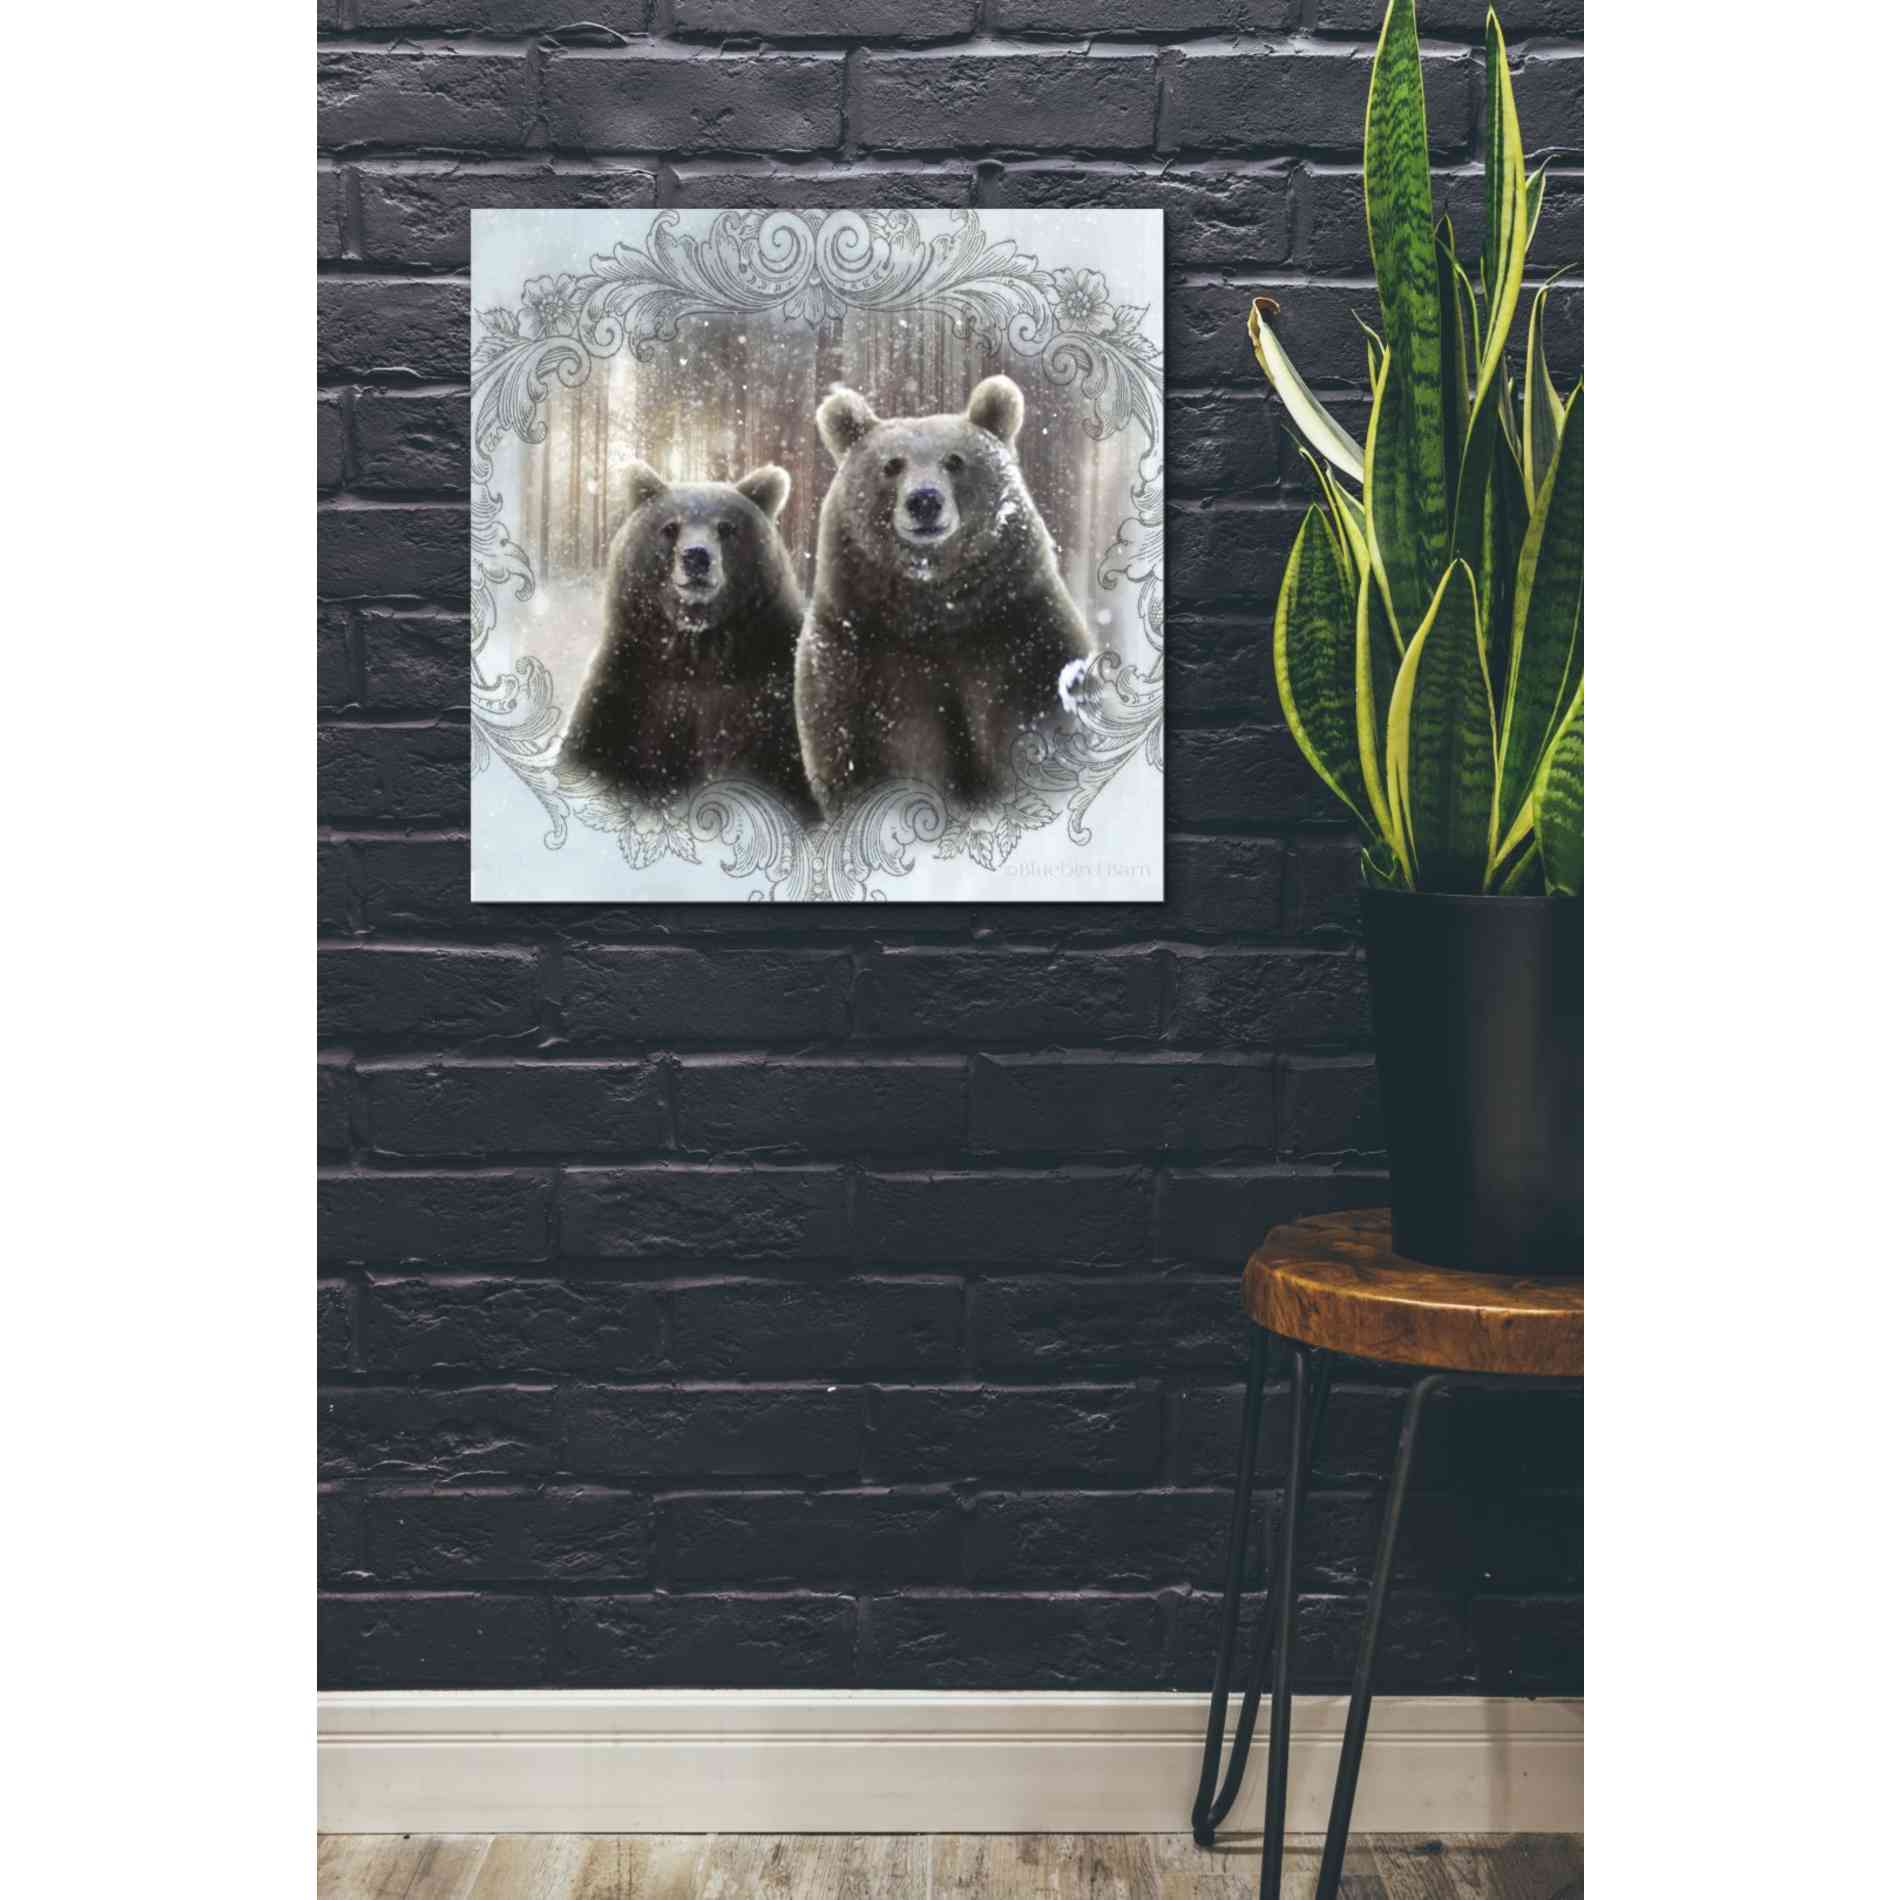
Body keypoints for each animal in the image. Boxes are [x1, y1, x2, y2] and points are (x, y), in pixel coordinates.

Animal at [558, 460, 816, 819]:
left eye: (726, 527)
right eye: (670, 527)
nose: (696, 556)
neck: (698, 648)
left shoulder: (769, 694)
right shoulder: (629, 691)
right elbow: (594, 754)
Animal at [794, 373, 1093, 817]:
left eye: (954, 460)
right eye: (892, 464)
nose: (924, 500)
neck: (936, 608)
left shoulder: (1022, 636)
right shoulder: (863, 657)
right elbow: (868, 752)